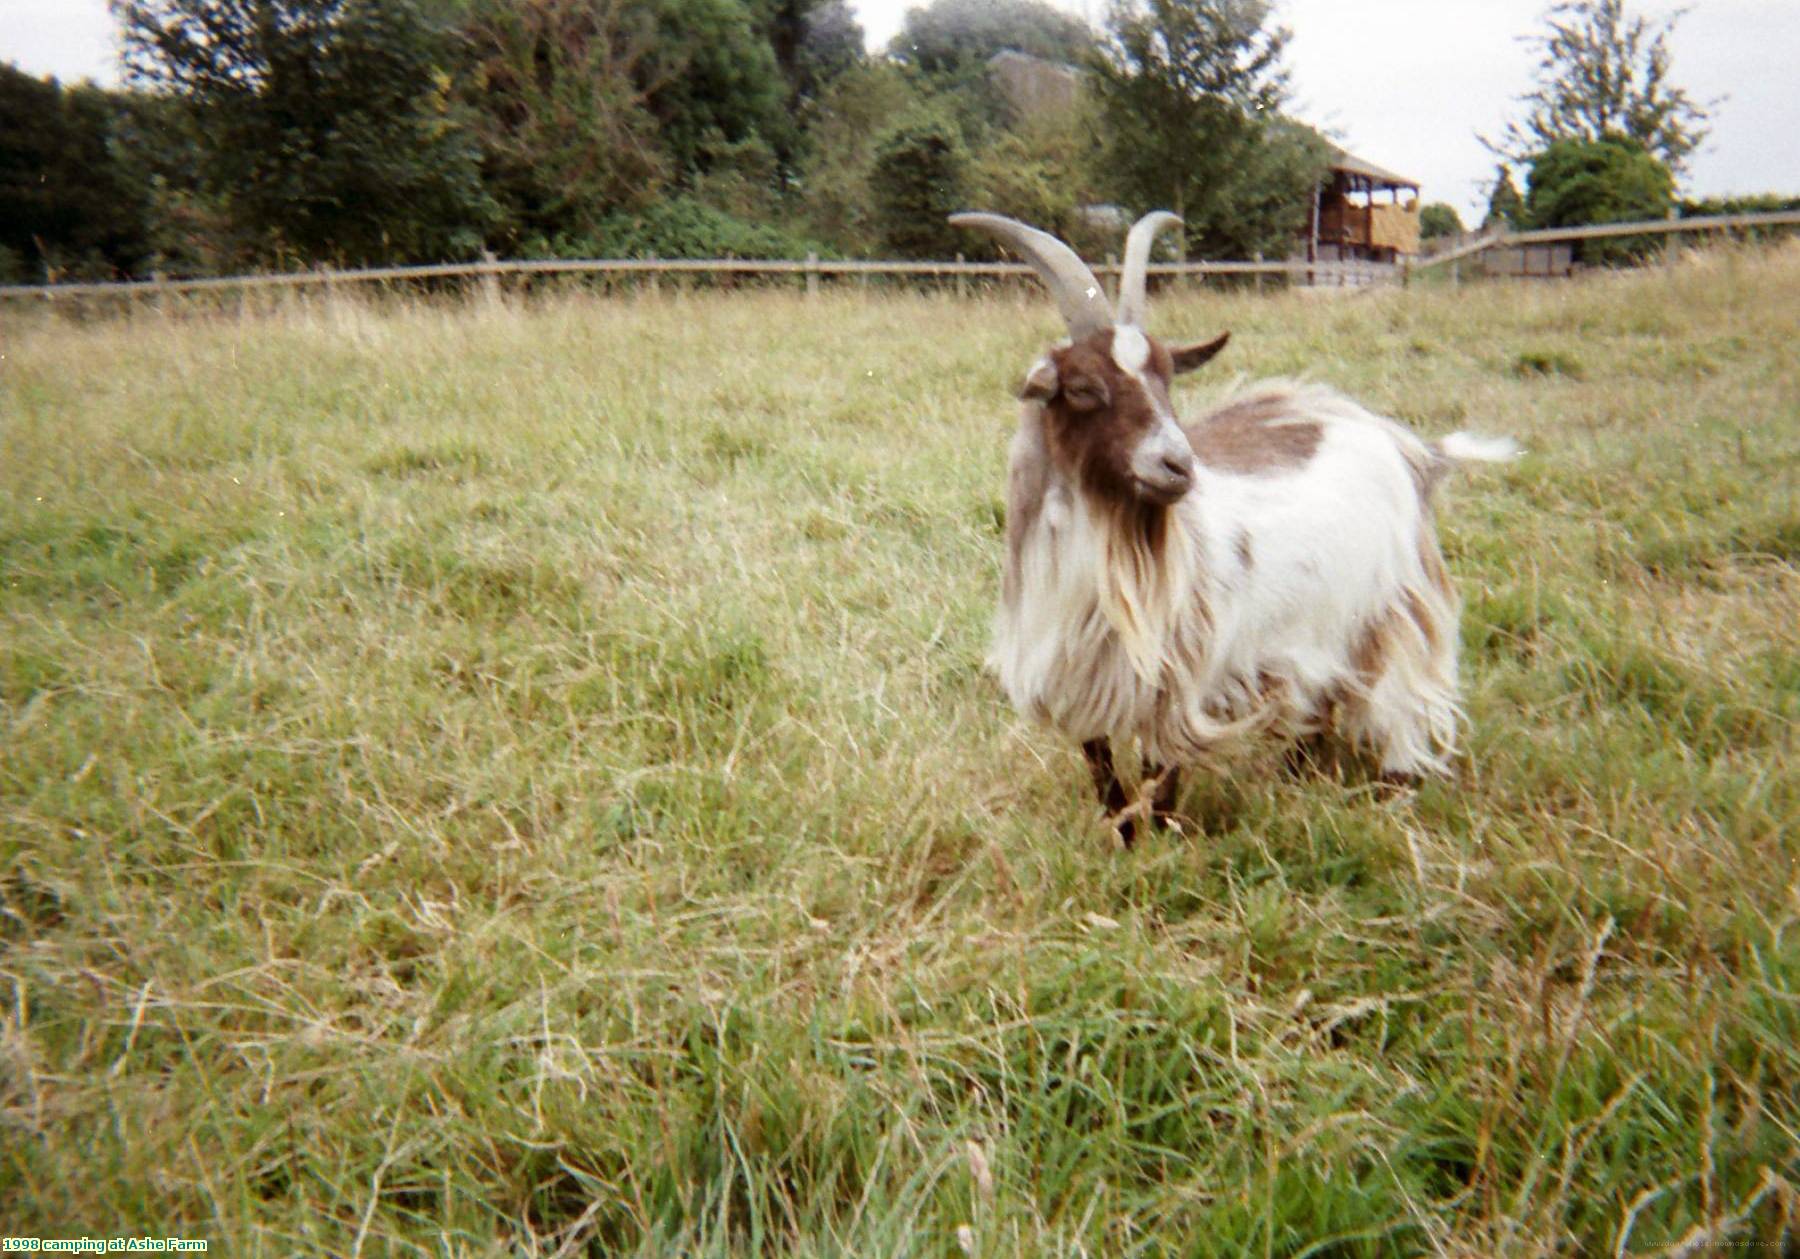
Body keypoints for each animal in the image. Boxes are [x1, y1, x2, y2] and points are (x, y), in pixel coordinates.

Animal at [957, 214, 1519, 846]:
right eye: (1081, 388)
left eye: (1167, 378)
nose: (1179, 465)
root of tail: (1411, 446)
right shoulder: (1074, 675)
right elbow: (1103, 772)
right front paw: (1121, 840)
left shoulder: (1178, 681)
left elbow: (1161, 773)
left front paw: (1163, 841)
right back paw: (1297, 776)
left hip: (1394, 608)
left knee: (1403, 701)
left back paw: (1395, 788)